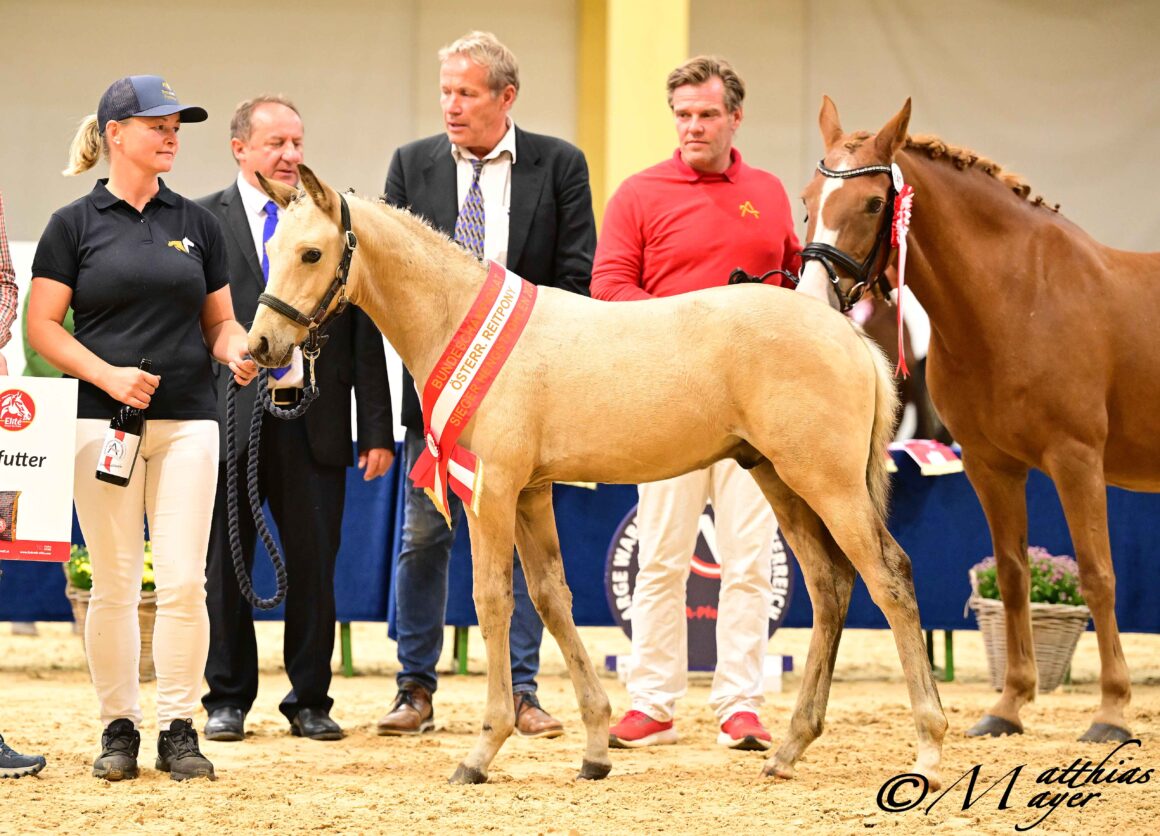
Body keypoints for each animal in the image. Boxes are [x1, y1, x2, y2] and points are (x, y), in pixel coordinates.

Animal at [249, 165, 946, 783]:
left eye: (311, 253)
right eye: (273, 248)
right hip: (781, 481)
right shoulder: (531, 494)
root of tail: (850, 337)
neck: (460, 321)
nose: (260, 347)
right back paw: (789, 749)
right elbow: (552, 599)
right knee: (831, 587)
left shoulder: (491, 493)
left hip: (827, 485)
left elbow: (492, 601)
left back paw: (929, 749)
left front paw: (482, 751)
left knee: (890, 579)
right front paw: (594, 750)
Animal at [802, 97, 1155, 742]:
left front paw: (1113, 713)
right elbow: (1013, 575)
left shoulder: (1077, 461)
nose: (814, 299)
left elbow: (1098, 576)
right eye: (808, 197)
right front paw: (1008, 707)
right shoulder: (991, 466)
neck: (1021, 297)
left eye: (873, 204)